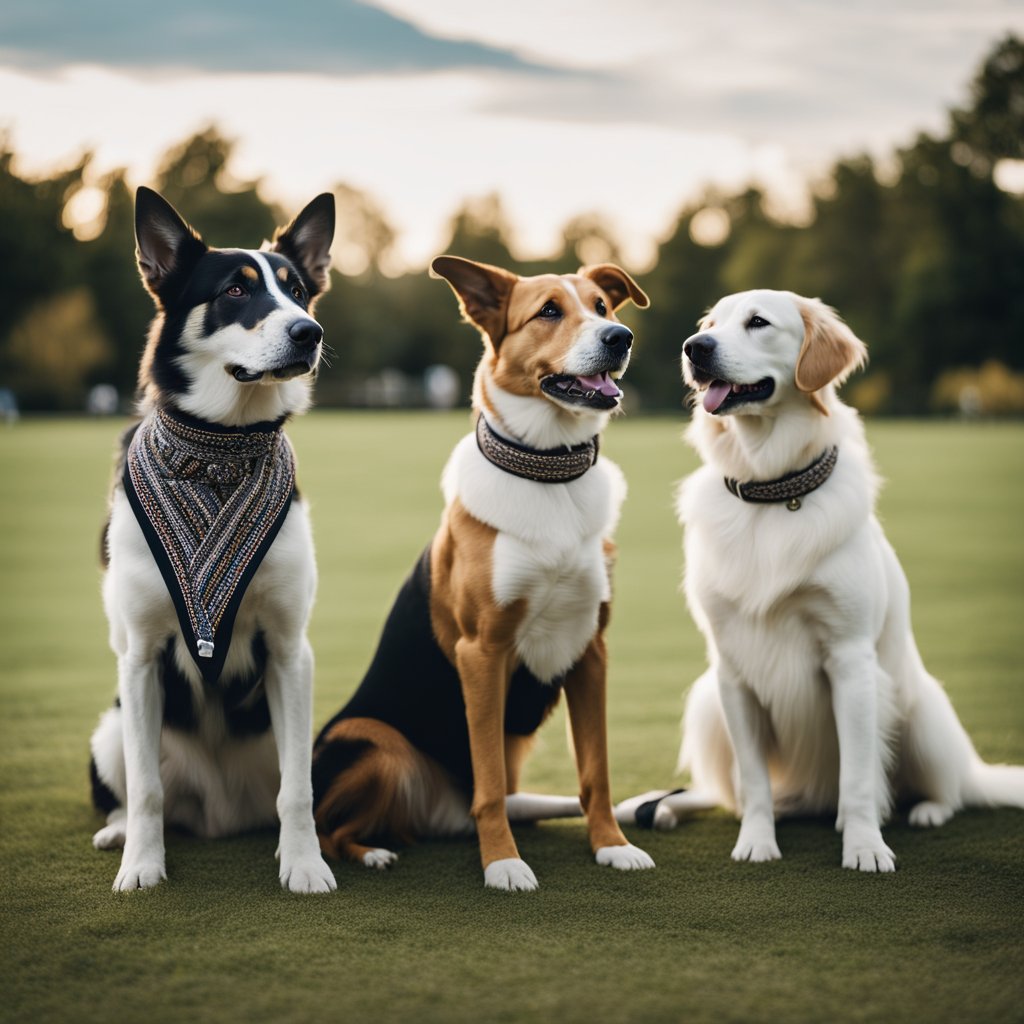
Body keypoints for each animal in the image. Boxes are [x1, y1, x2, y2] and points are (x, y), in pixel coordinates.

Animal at [90, 188, 337, 892]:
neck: (219, 455)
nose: (309, 333)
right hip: (110, 728)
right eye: (235, 290)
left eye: (298, 291)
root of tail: (220, 816)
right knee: (136, 791)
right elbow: (146, 789)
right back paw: (118, 833)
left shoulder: (289, 650)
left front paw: (304, 864)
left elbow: (297, 792)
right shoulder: (140, 658)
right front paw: (142, 867)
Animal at [614, 288, 1024, 872]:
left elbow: (859, 779)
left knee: (946, 790)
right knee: (726, 792)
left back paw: (924, 810)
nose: (695, 349)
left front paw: (865, 846)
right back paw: (665, 807)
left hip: (919, 709)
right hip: (707, 704)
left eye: (758, 322)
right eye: (709, 326)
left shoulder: (850, 658)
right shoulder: (732, 670)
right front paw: (757, 841)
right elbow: (754, 782)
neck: (771, 490)